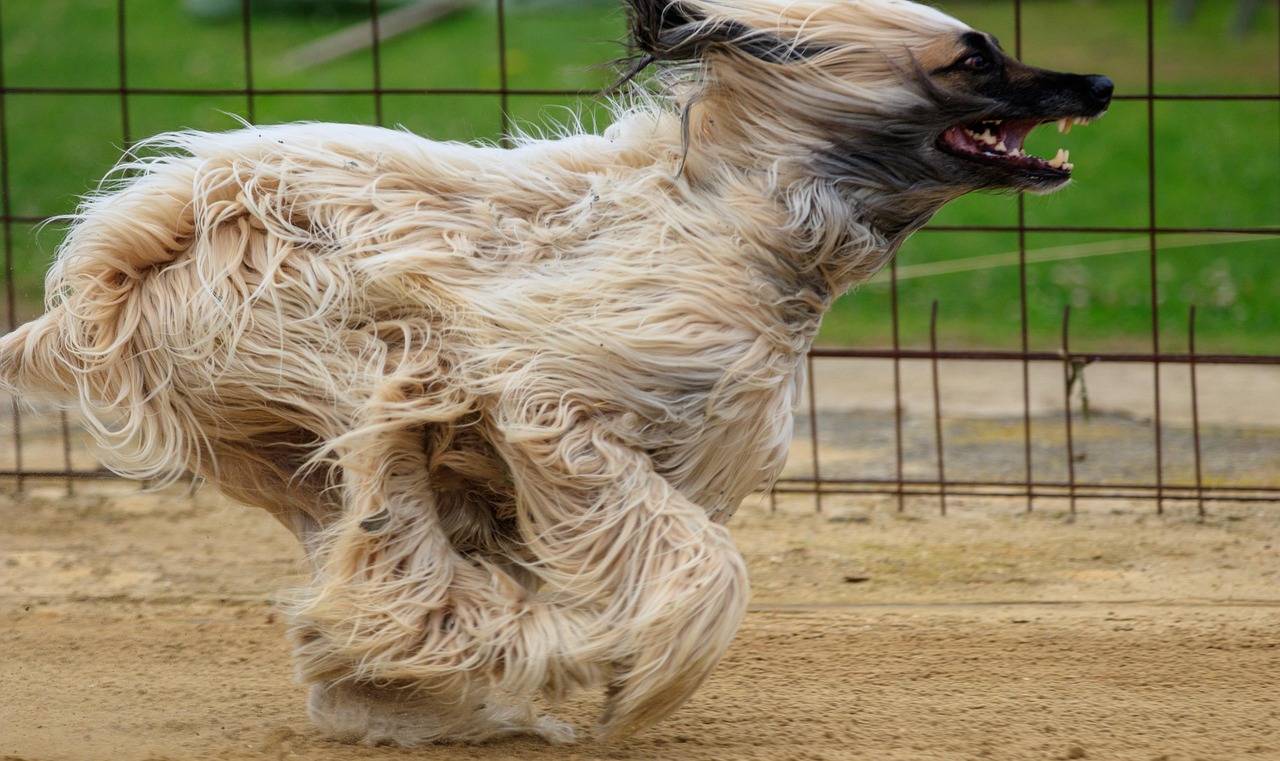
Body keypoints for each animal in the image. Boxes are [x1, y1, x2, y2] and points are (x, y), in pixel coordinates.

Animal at [0, 0, 1111, 746]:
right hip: (329, 335)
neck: (752, 214)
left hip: (276, 423)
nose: (1100, 85)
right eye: (973, 59)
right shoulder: (554, 398)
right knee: (393, 508)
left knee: (370, 531)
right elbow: (703, 563)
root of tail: (122, 257)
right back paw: (436, 657)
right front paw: (638, 674)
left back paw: (396, 674)